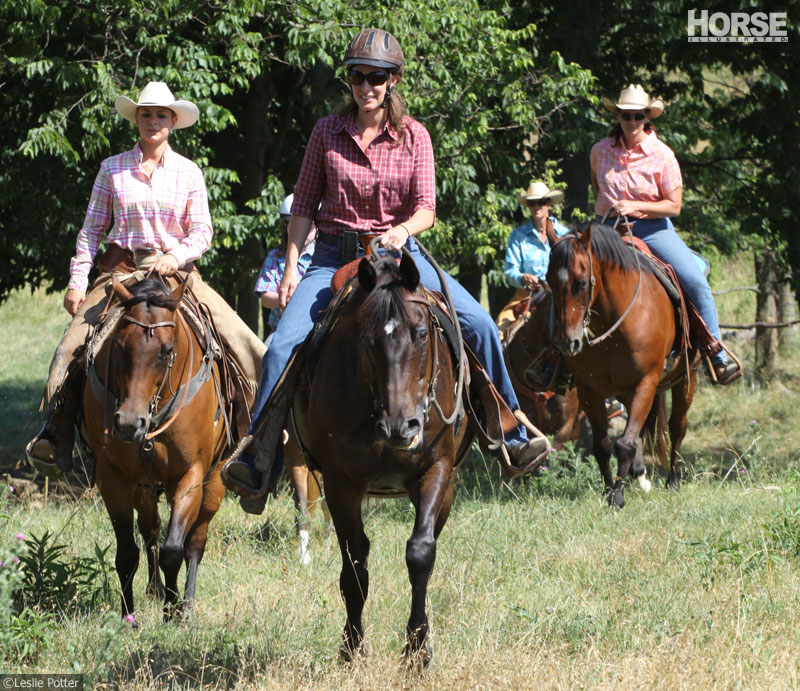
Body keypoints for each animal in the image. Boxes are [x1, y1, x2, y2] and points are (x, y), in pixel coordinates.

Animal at [81, 276, 228, 620]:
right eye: (119, 346)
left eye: (167, 351)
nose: (127, 424)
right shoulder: (114, 478)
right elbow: (126, 553)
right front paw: (129, 618)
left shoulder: (191, 476)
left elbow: (174, 550)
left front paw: (173, 611)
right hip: (144, 488)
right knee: (149, 530)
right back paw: (155, 589)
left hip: (214, 483)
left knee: (195, 542)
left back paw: (185, 603)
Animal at [290, 246, 472, 668]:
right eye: (367, 340)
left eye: (421, 333)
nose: (400, 428)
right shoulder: (340, 482)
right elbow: (355, 565)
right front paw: (352, 648)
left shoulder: (436, 469)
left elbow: (421, 553)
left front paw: (418, 651)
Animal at [544, 223, 700, 508]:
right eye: (549, 281)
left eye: (582, 283)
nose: (567, 342)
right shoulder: (589, 390)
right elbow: (603, 446)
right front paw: (609, 490)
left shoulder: (646, 382)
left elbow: (625, 443)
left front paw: (617, 496)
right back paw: (639, 474)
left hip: (687, 378)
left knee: (677, 427)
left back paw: (672, 481)